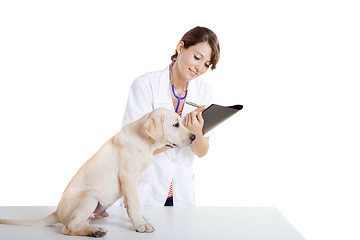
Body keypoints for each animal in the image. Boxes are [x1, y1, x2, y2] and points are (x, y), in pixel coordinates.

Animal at [0, 108, 195, 237]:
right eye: (175, 125)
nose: (194, 137)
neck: (144, 141)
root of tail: (57, 212)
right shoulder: (129, 177)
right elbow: (134, 203)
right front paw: (140, 225)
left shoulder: (131, 183)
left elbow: (130, 204)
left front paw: (141, 219)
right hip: (89, 198)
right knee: (68, 227)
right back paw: (95, 231)